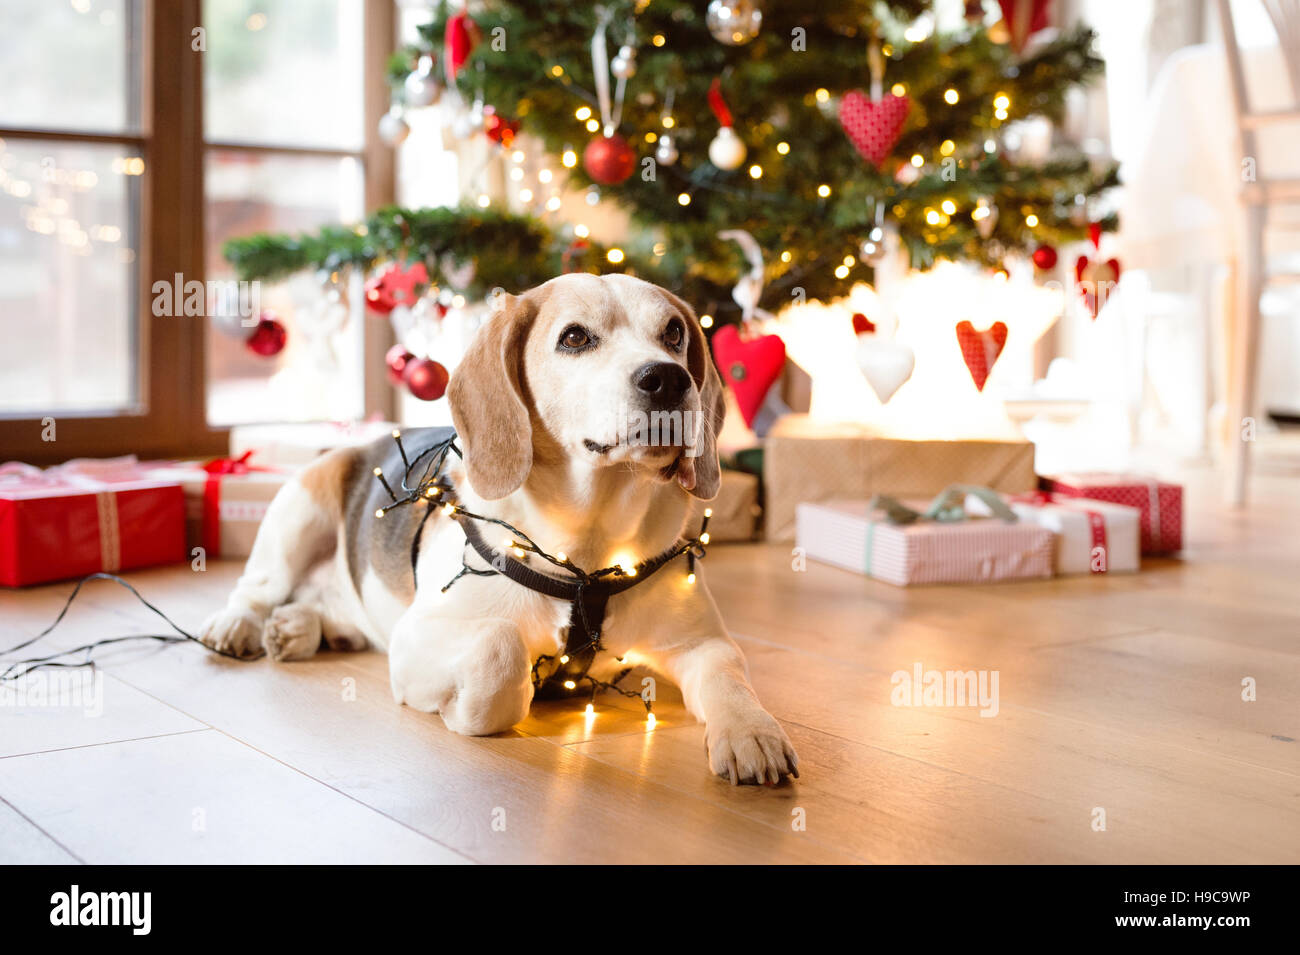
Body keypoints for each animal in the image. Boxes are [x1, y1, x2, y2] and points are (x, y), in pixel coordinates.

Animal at [197, 270, 795, 784]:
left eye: (673, 333)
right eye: (574, 337)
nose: (669, 378)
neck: (588, 547)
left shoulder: (703, 641)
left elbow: (730, 678)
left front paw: (752, 732)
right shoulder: (416, 638)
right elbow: (499, 652)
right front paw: (470, 707)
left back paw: (301, 626)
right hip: (299, 510)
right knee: (255, 589)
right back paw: (241, 626)